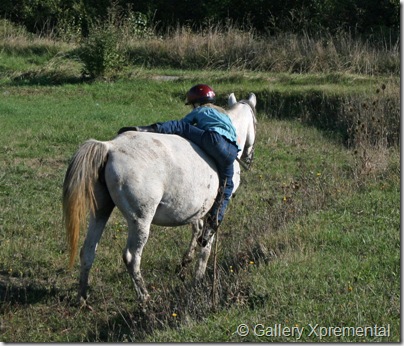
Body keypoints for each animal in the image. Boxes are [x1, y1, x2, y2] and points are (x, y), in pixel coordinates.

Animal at [63, 91, 258, 302]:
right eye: (256, 122)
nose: (249, 157)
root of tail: (110, 147)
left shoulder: (198, 208)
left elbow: (197, 230)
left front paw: (185, 263)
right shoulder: (215, 208)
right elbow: (206, 242)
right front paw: (198, 279)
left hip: (100, 211)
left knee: (88, 251)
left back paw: (83, 296)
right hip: (140, 220)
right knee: (131, 257)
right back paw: (145, 298)